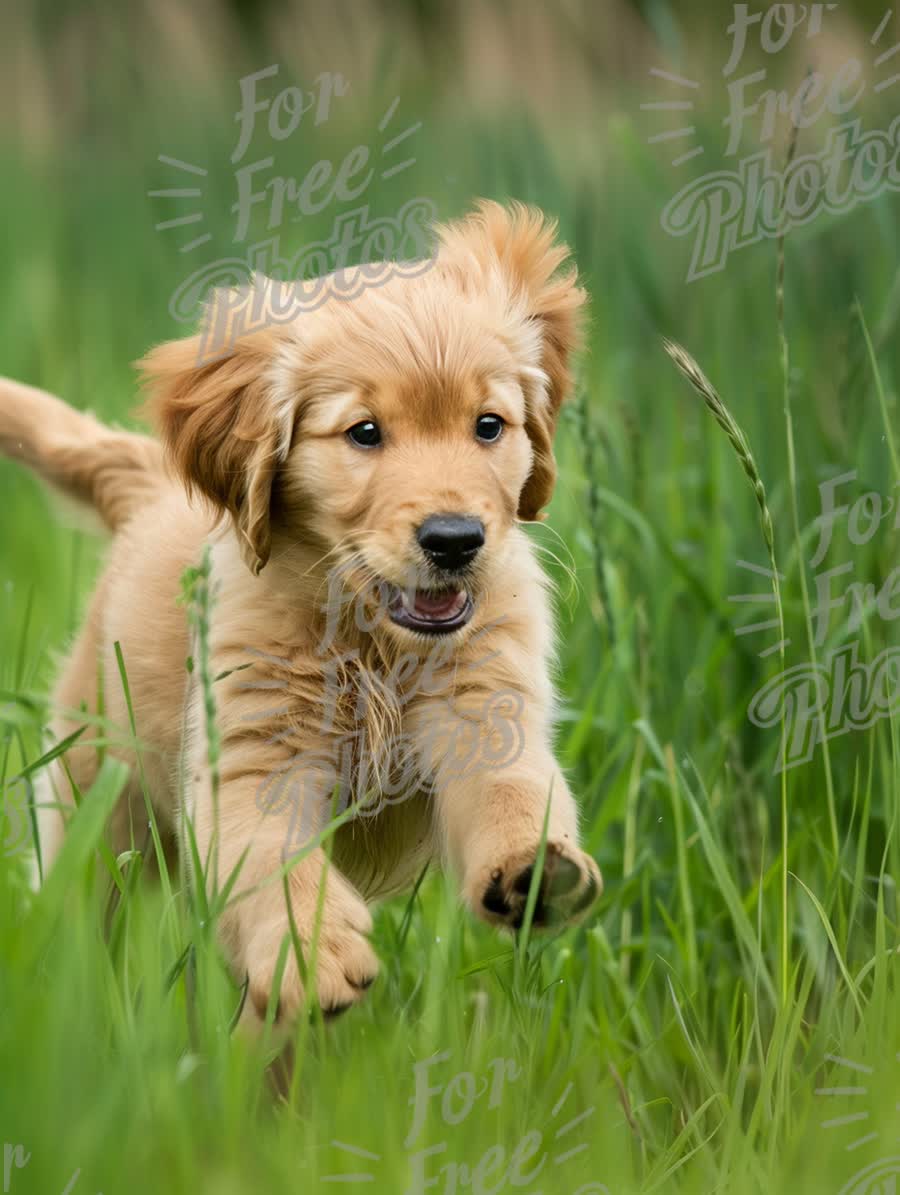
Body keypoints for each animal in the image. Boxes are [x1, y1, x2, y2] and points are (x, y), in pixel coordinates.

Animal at [3, 200, 604, 1022]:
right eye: (364, 432)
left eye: (488, 425)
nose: (455, 540)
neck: (369, 635)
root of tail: (152, 487)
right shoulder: (251, 756)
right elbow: (270, 859)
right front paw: (311, 951)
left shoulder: (484, 703)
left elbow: (510, 789)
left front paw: (534, 867)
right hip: (98, 798)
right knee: (80, 908)